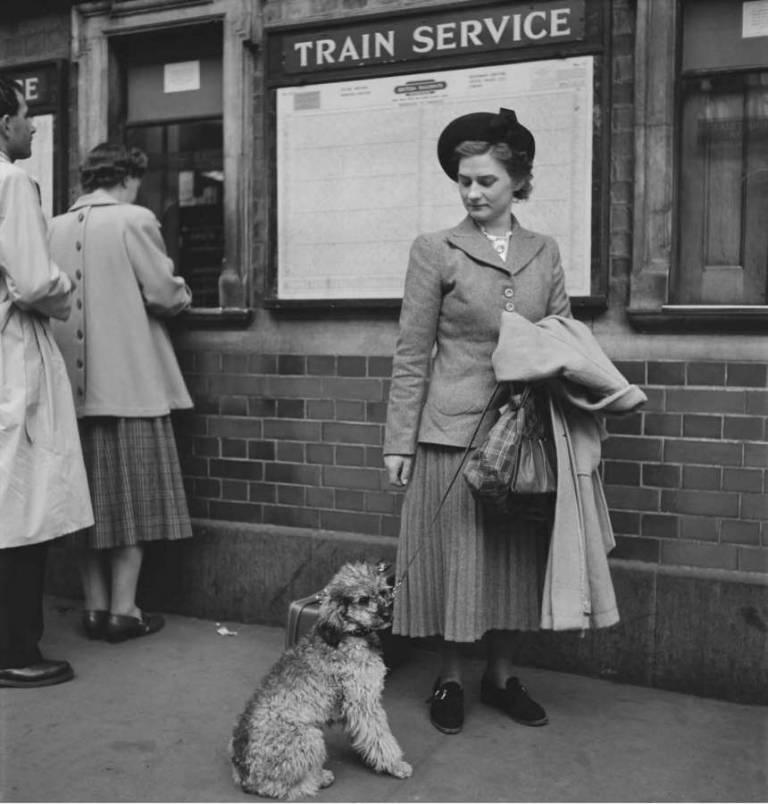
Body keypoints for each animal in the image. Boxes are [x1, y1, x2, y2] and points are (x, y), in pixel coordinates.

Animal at [231, 564, 414, 800]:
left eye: (383, 592)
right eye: (363, 599)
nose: (386, 614)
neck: (349, 633)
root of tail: (245, 774)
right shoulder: (362, 703)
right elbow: (380, 737)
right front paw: (395, 765)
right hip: (309, 737)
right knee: (284, 788)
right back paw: (320, 777)